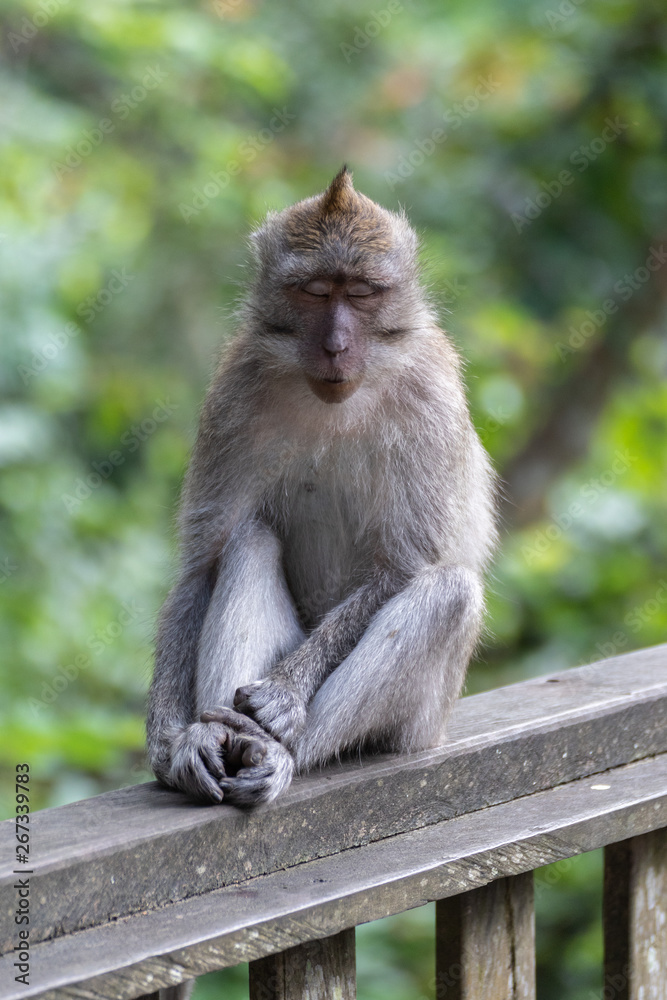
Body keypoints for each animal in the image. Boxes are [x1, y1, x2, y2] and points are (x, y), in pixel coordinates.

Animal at [146, 166, 497, 810]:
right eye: (314, 291)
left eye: (360, 293)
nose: (336, 345)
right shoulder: (233, 392)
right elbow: (202, 565)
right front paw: (169, 746)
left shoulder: (430, 399)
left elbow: (402, 567)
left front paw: (283, 697)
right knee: (249, 540)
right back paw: (216, 735)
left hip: (423, 725)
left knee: (449, 592)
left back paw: (279, 750)